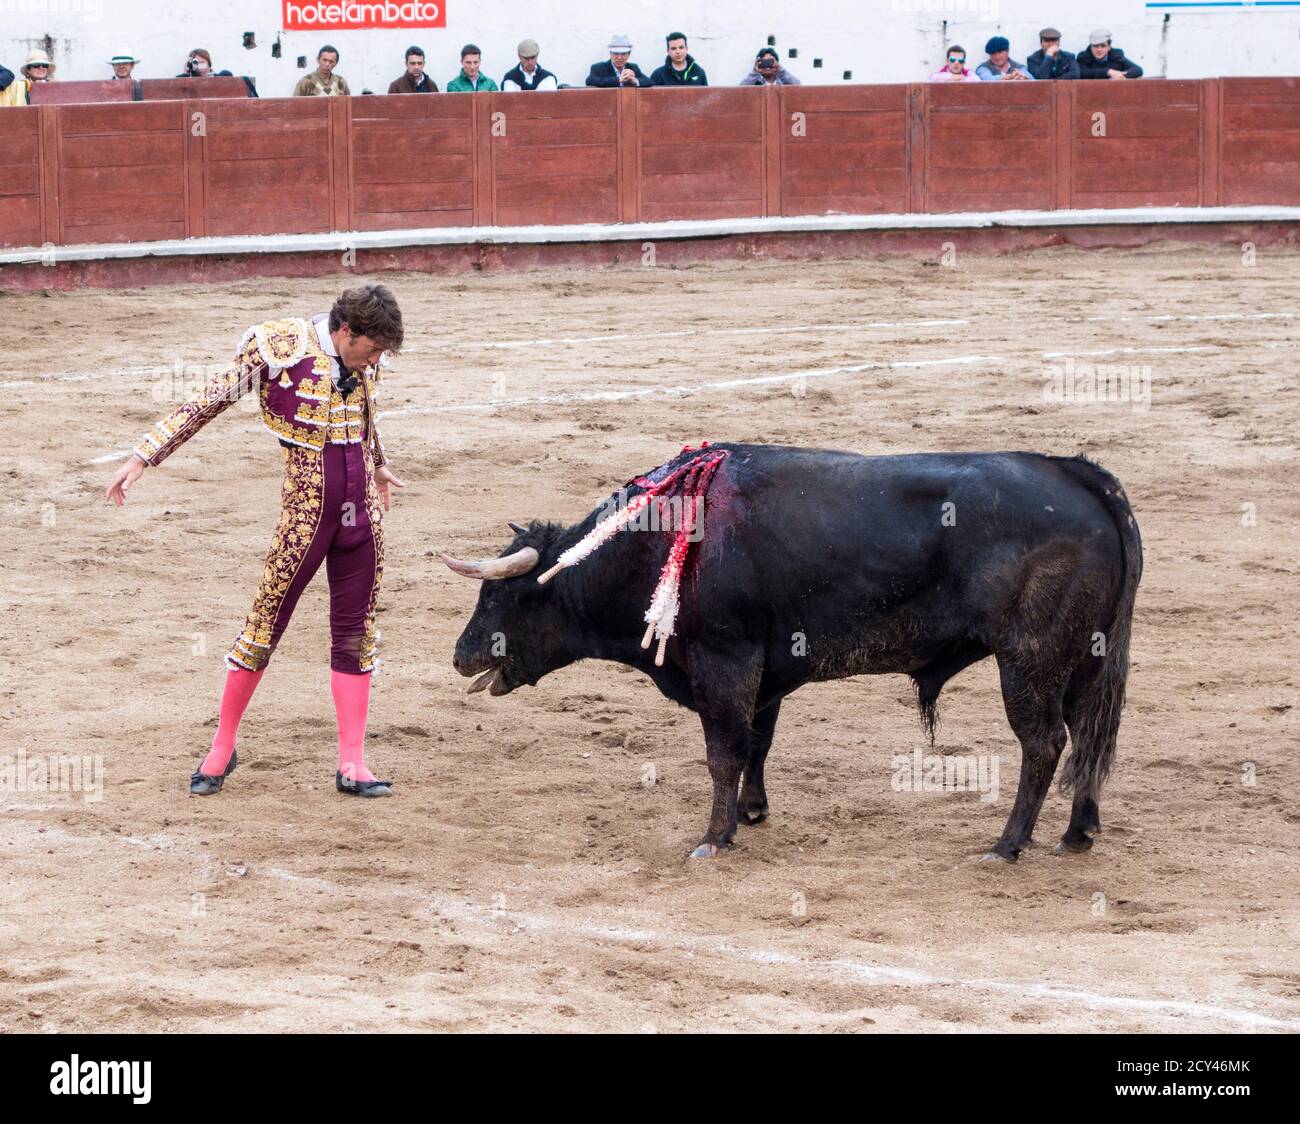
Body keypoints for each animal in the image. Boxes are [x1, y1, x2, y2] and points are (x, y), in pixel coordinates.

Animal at [440, 444, 1142, 862]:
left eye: (500, 598)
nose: (460, 655)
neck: (658, 540)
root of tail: (1077, 472)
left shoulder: (724, 664)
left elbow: (723, 752)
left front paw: (712, 838)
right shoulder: (765, 673)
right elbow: (758, 742)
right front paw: (752, 812)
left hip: (1029, 659)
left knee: (1043, 743)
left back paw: (1008, 843)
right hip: (1085, 658)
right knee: (1086, 734)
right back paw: (1078, 832)